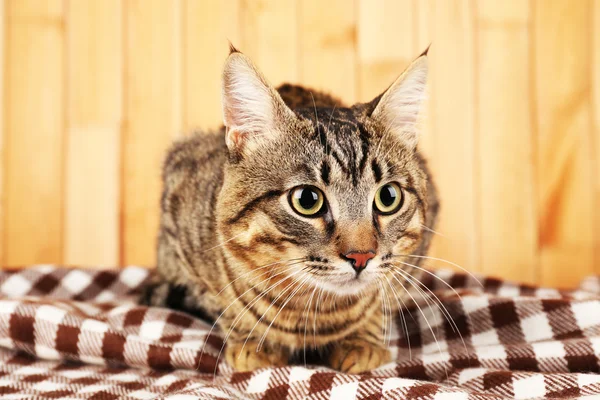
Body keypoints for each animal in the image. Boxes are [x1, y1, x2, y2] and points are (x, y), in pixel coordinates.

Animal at [143, 43, 438, 372]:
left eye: (388, 197)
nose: (361, 257)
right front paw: (253, 340)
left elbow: (384, 295)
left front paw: (362, 339)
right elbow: (224, 302)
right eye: (307, 200)